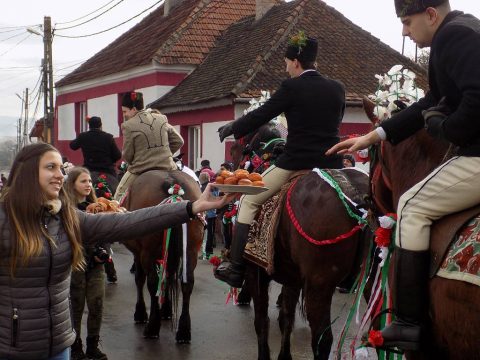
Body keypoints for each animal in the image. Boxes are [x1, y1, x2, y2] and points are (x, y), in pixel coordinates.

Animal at [122, 170, 204, 342]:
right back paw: (183, 330)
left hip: (148, 252)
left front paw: (141, 312)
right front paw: (166, 309)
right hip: (191, 251)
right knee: (186, 283)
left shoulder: (139, 252)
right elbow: (168, 276)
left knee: (152, 283)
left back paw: (152, 326)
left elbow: (141, 279)